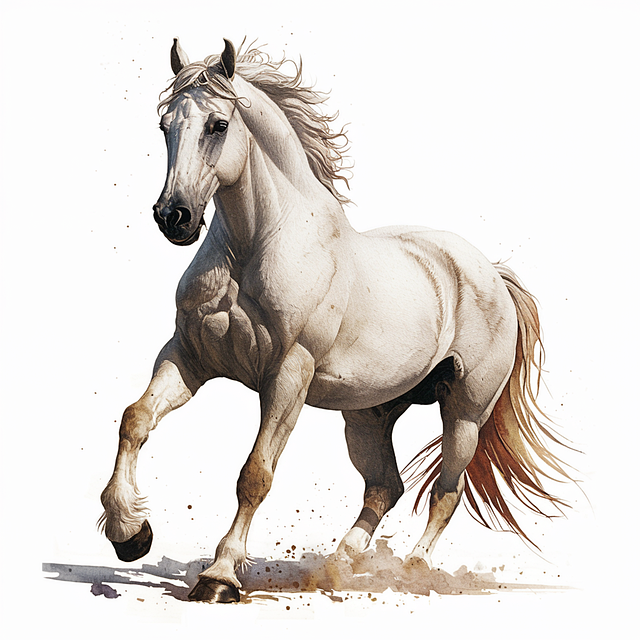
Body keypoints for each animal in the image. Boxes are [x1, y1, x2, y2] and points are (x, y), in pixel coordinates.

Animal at [100, 38, 574, 603]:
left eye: (217, 124)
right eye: (164, 125)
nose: (174, 217)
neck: (254, 246)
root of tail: (492, 275)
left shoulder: (288, 375)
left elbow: (255, 474)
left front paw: (220, 576)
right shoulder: (188, 357)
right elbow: (135, 420)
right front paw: (130, 534)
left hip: (464, 412)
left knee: (446, 490)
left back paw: (412, 570)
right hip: (367, 415)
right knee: (386, 486)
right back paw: (337, 564)